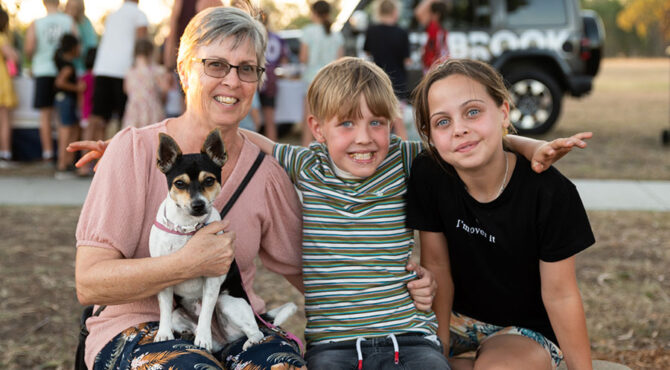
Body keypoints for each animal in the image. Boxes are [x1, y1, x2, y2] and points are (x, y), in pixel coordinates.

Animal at [150, 130, 296, 352]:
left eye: (209, 181)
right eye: (179, 183)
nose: (198, 204)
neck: (187, 229)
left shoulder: (212, 283)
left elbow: (205, 313)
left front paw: (203, 338)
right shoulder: (164, 280)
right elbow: (164, 310)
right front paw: (164, 334)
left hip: (227, 302)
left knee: (256, 331)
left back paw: (248, 341)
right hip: (180, 314)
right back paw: (187, 333)